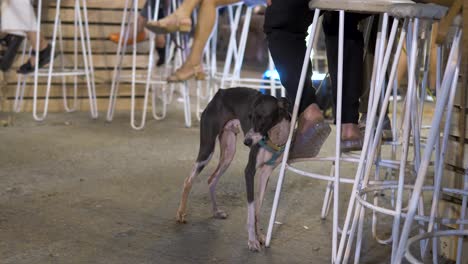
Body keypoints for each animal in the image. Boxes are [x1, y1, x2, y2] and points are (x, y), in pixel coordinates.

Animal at [176, 87, 290, 251]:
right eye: (249, 116)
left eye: (263, 117)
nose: (247, 142)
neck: (275, 135)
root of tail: (220, 93)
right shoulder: (249, 172)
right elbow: (251, 210)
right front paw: (252, 240)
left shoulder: (265, 172)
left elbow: (258, 209)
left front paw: (260, 236)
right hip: (207, 149)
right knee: (189, 180)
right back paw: (181, 213)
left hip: (228, 153)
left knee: (211, 179)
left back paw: (216, 212)